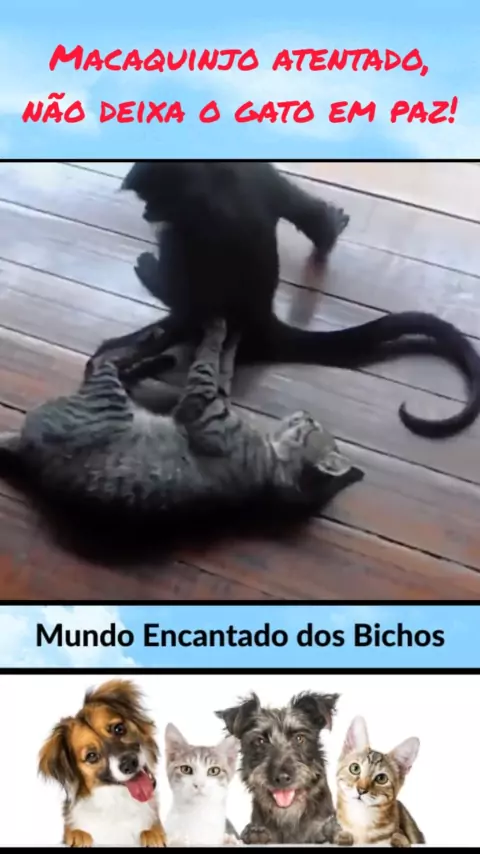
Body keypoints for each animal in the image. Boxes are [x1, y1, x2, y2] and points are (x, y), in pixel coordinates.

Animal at [0, 318, 363, 528]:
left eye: (311, 424)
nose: (304, 412)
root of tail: (22, 446)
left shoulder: (201, 404)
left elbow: (208, 358)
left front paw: (218, 329)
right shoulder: (216, 395)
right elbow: (224, 364)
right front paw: (234, 336)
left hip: (109, 400)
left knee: (102, 360)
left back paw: (154, 343)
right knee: (110, 364)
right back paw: (154, 357)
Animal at [38, 679, 166, 847]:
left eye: (119, 728)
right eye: (91, 756)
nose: (130, 763)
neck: (118, 803)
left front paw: (152, 835)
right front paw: (79, 836)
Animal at [90, 161, 480, 439]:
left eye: (154, 201)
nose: (146, 213)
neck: (212, 174)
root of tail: (262, 316)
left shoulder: (190, 219)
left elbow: (184, 293)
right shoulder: (257, 171)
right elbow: (305, 213)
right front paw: (328, 224)